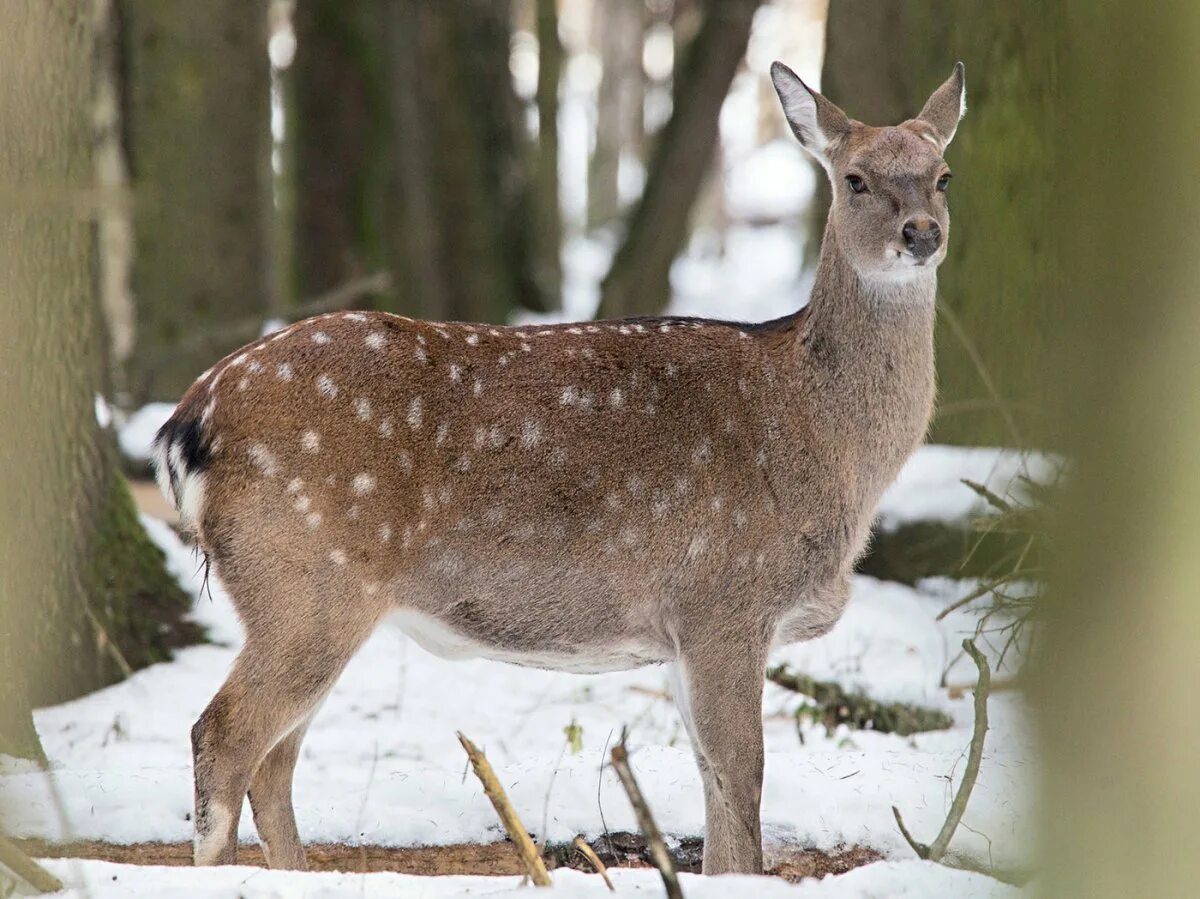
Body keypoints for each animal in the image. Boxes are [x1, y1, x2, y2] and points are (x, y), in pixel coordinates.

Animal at [157, 63, 964, 878]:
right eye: (855, 178)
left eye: (943, 176)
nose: (921, 233)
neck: (824, 442)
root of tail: (188, 421)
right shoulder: (725, 598)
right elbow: (743, 791)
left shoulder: (686, 631)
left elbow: (716, 797)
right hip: (306, 578)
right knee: (223, 737)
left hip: (307, 597)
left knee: (274, 759)